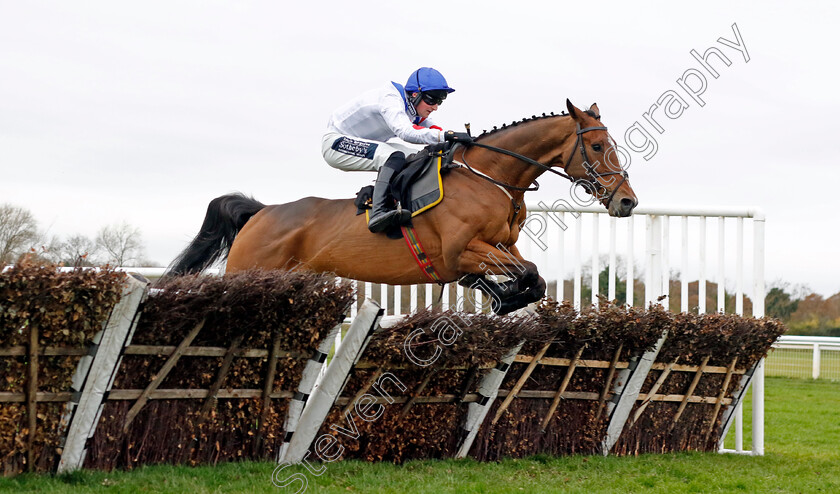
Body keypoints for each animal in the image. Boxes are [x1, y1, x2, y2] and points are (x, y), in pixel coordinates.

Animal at [166, 101, 636, 314]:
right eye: (598, 146)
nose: (627, 200)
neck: (487, 177)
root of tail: (261, 212)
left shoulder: (498, 247)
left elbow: (532, 277)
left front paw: (505, 298)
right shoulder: (461, 250)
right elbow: (525, 274)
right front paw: (505, 296)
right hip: (247, 273)